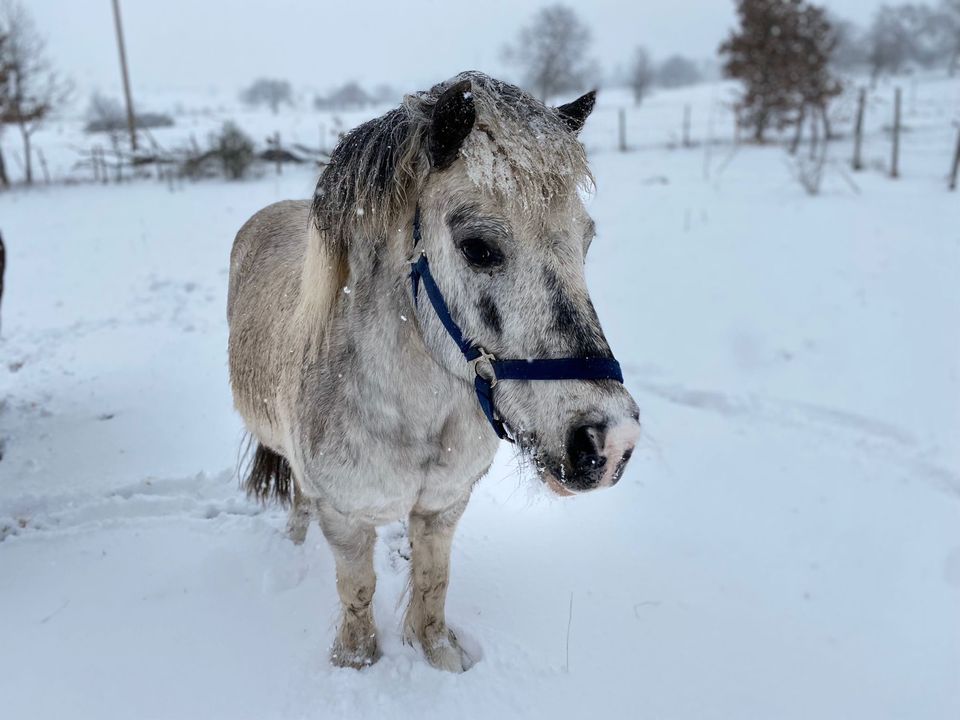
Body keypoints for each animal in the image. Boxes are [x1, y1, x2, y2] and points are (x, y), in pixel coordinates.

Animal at [229, 70, 640, 672]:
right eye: (478, 247)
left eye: (584, 242)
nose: (610, 442)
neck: (411, 413)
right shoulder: (344, 518)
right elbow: (357, 592)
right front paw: (357, 662)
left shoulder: (444, 506)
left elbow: (432, 583)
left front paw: (439, 655)